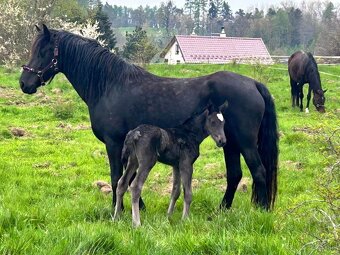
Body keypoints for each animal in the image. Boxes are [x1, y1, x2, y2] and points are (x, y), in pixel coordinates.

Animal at [19, 25, 278, 213]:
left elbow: (116, 177)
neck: (110, 85)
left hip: (245, 143)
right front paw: (139, 207)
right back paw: (221, 210)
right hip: (229, 143)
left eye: (43, 52)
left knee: (259, 171)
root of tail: (253, 83)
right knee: (235, 175)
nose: (24, 83)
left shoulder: (114, 143)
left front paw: (119, 210)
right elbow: (129, 176)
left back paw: (262, 211)